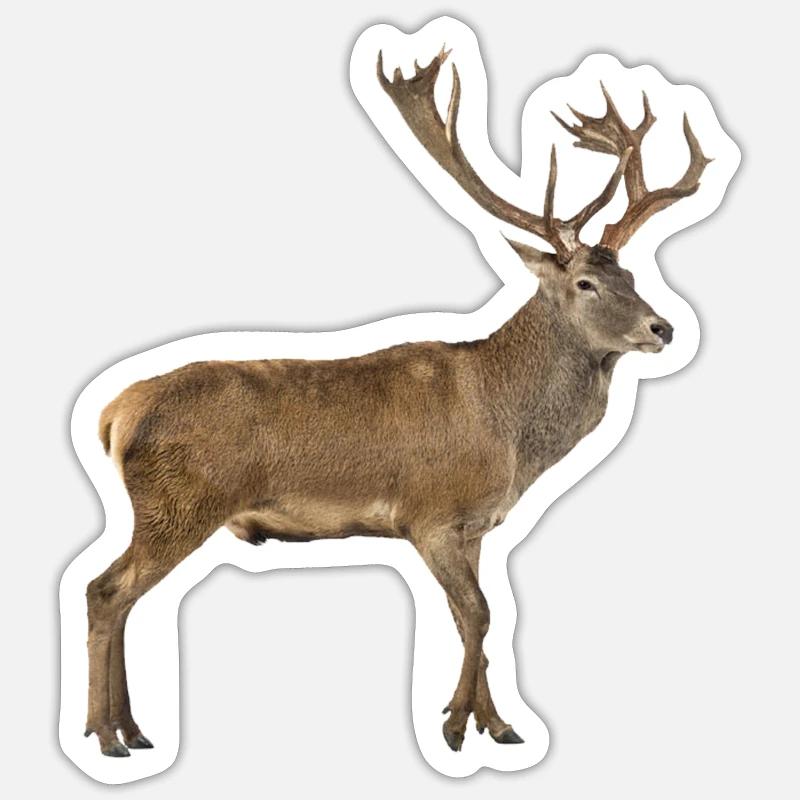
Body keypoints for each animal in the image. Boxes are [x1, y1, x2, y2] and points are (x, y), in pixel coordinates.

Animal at [82, 47, 712, 759]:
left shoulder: (476, 525)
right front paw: (462, 727)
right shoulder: (429, 512)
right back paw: (106, 734)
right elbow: (478, 614)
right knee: (105, 590)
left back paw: (131, 729)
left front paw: (493, 723)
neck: (511, 436)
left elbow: (477, 618)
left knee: (121, 595)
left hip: (162, 508)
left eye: (631, 275)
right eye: (585, 283)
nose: (663, 327)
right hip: (179, 502)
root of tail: (114, 413)